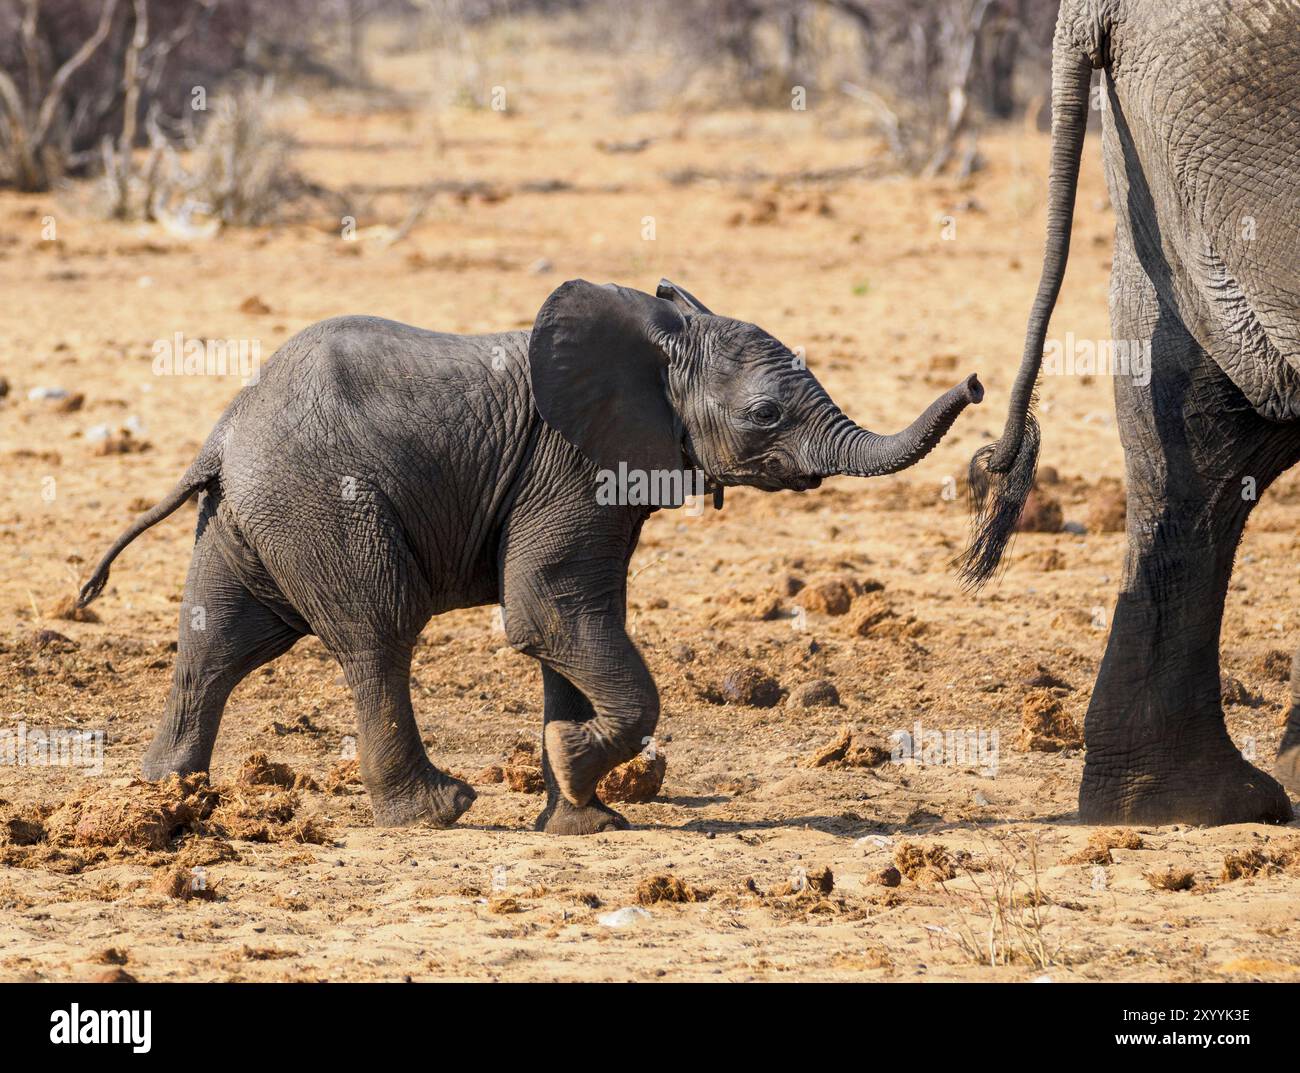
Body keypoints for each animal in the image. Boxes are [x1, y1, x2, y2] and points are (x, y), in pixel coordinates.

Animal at [78, 279, 983, 833]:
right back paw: (437, 810)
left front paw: (585, 816)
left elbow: (576, 622)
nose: (976, 384)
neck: (659, 341)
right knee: (377, 631)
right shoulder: (570, 464)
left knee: (215, 643)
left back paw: (167, 795)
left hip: (247, 515)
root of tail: (224, 431)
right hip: (319, 501)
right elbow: (549, 611)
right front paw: (575, 765)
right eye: (765, 413)